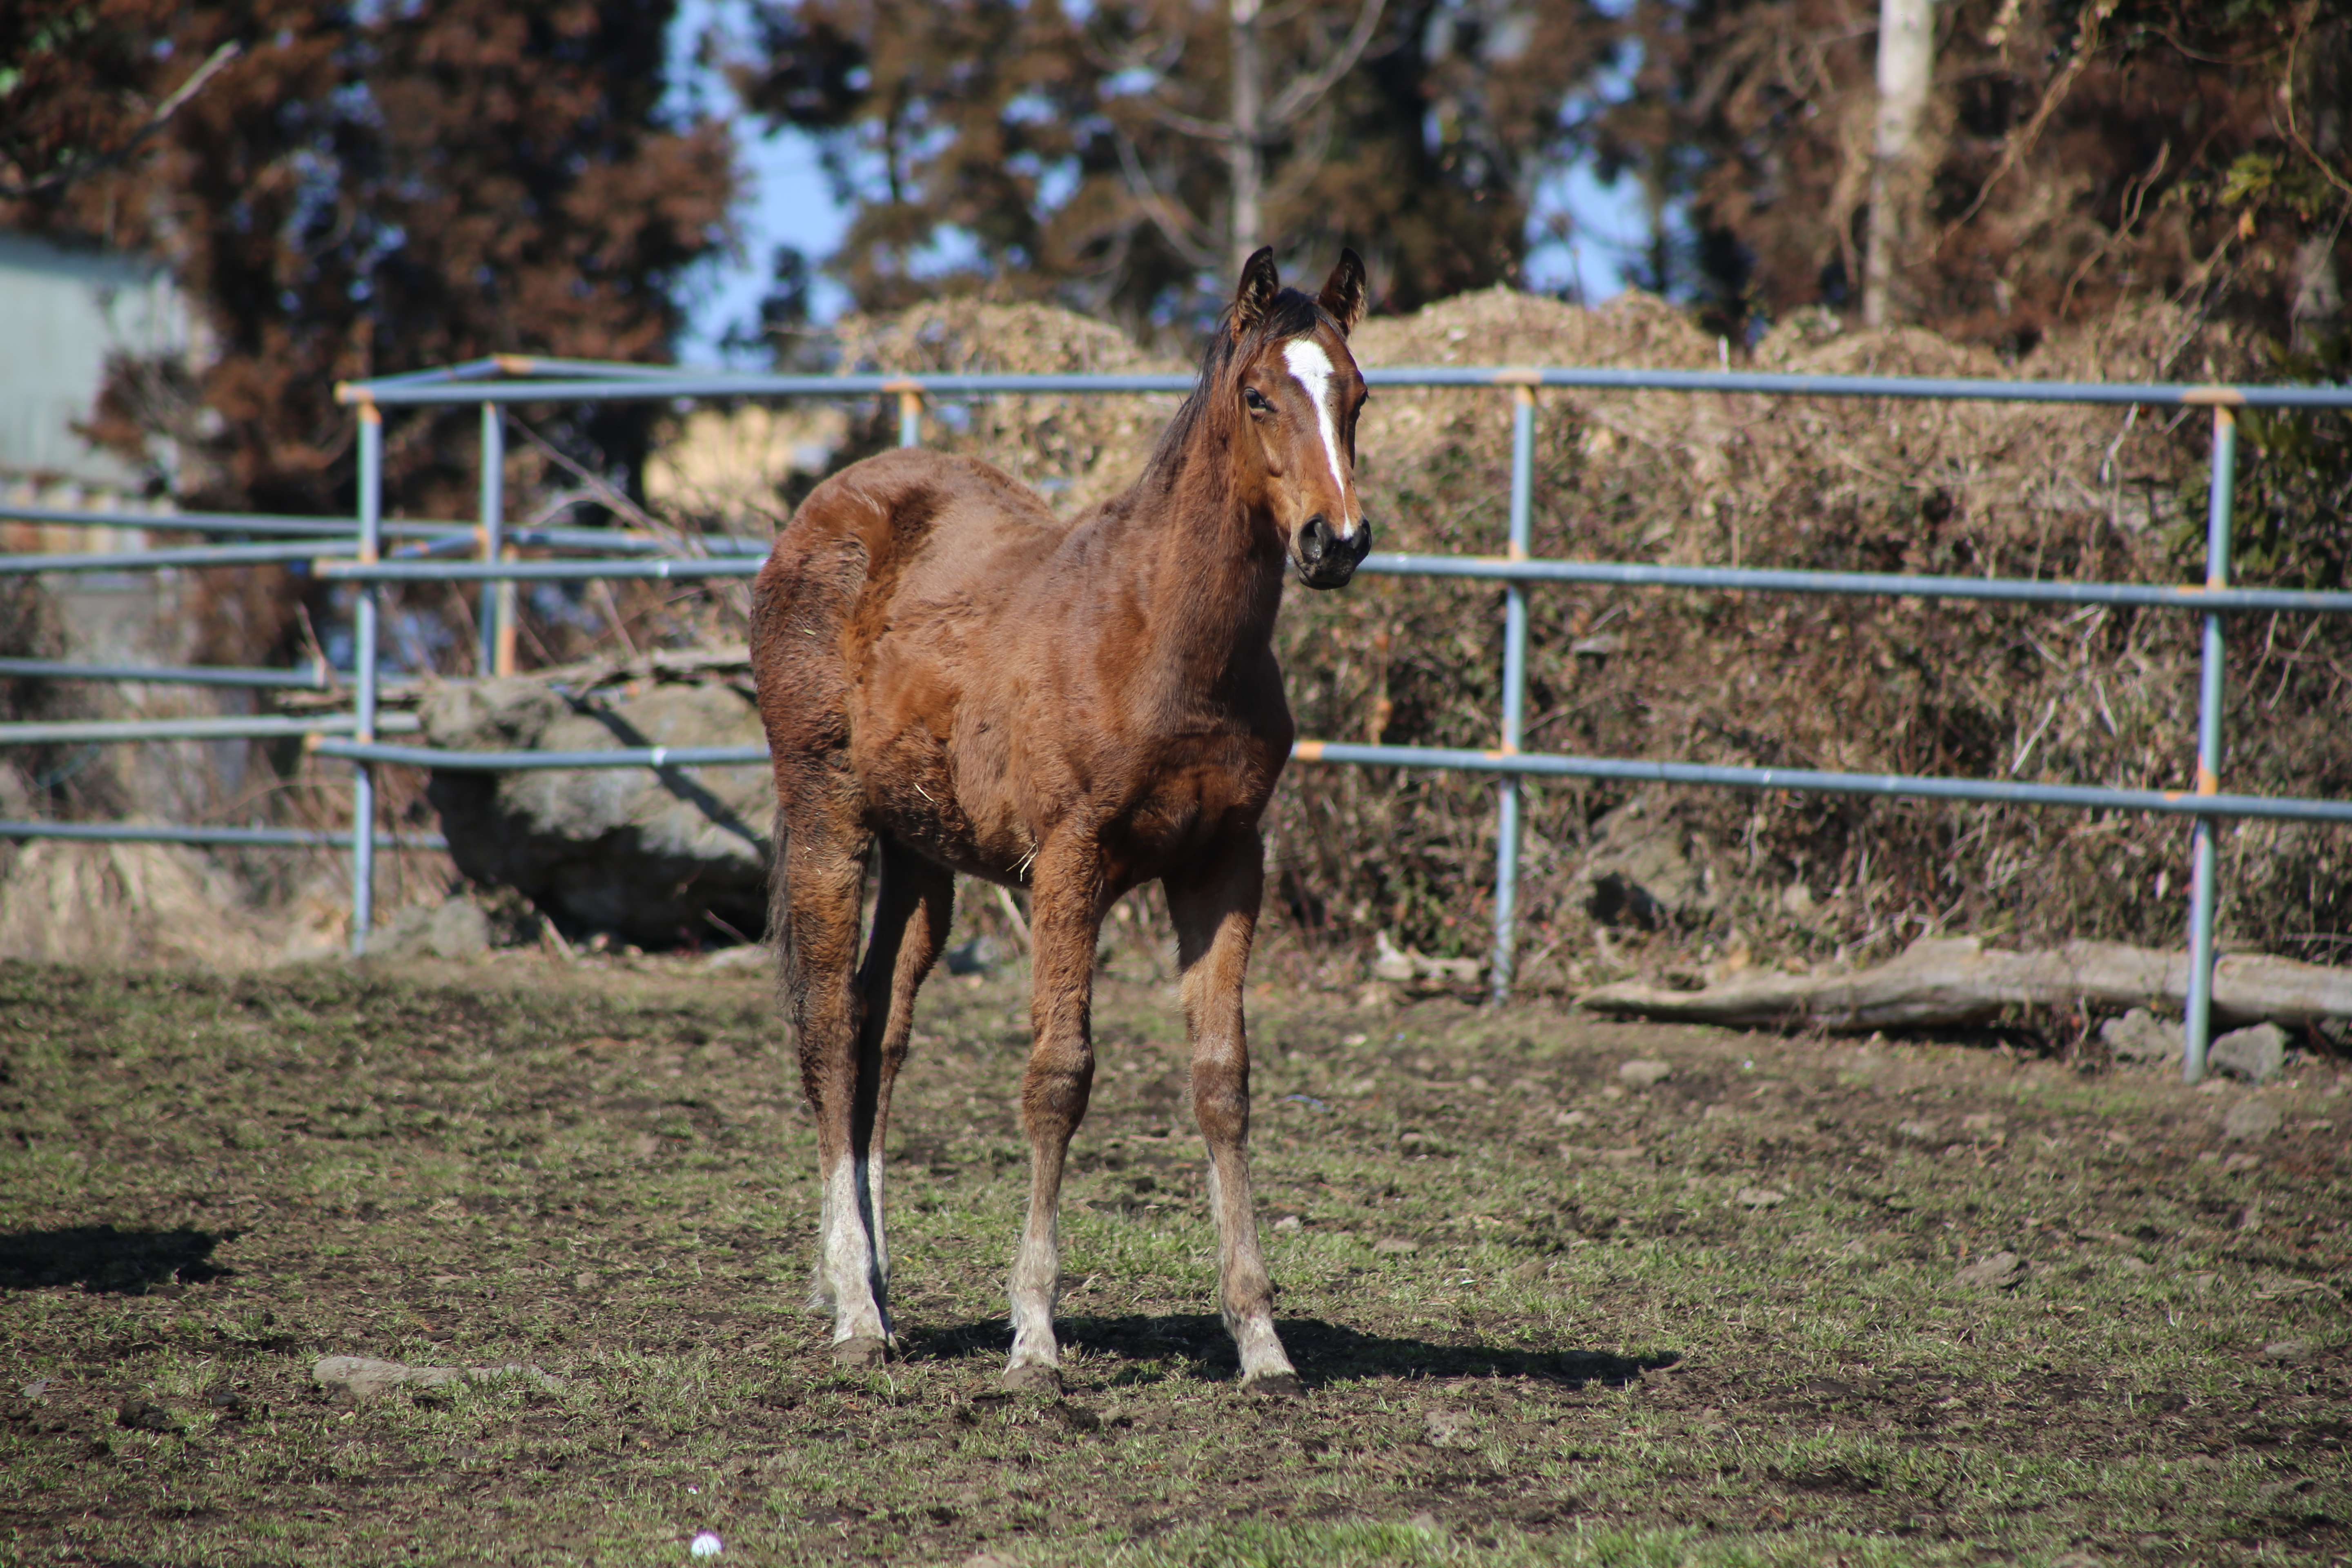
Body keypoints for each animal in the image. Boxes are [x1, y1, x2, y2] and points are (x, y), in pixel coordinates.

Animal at [753, 248, 1373, 1401]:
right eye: (1259, 396)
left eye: (1356, 394)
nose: (1336, 541)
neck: (1163, 636)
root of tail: (822, 509)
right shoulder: (1068, 860)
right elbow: (1059, 1076)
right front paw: (1034, 1334)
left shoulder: (1226, 864)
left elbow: (1222, 1082)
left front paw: (1261, 1340)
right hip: (827, 816)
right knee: (825, 1027)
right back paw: (855, 1309)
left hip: (921, 855)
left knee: (877, 1028)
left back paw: (874, 1288)